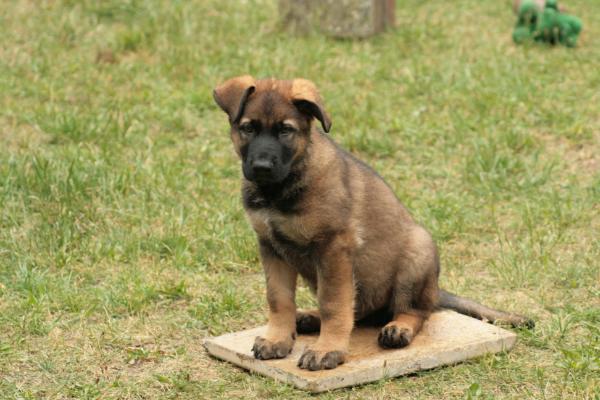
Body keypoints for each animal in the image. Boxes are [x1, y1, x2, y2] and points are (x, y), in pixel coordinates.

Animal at [213, 76, 532, 372]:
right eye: (248, 128)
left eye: (285, 130)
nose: (261, 168)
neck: (280, 188)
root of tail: (436, 289)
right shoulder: (270, 246)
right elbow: (279, 299)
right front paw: (278, 339)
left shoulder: (333, 248)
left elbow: (334, 304)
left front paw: (327, 350)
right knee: (359, 312)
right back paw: (308, 318)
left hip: (417, 253)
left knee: (416, 311)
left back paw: (398, 328)